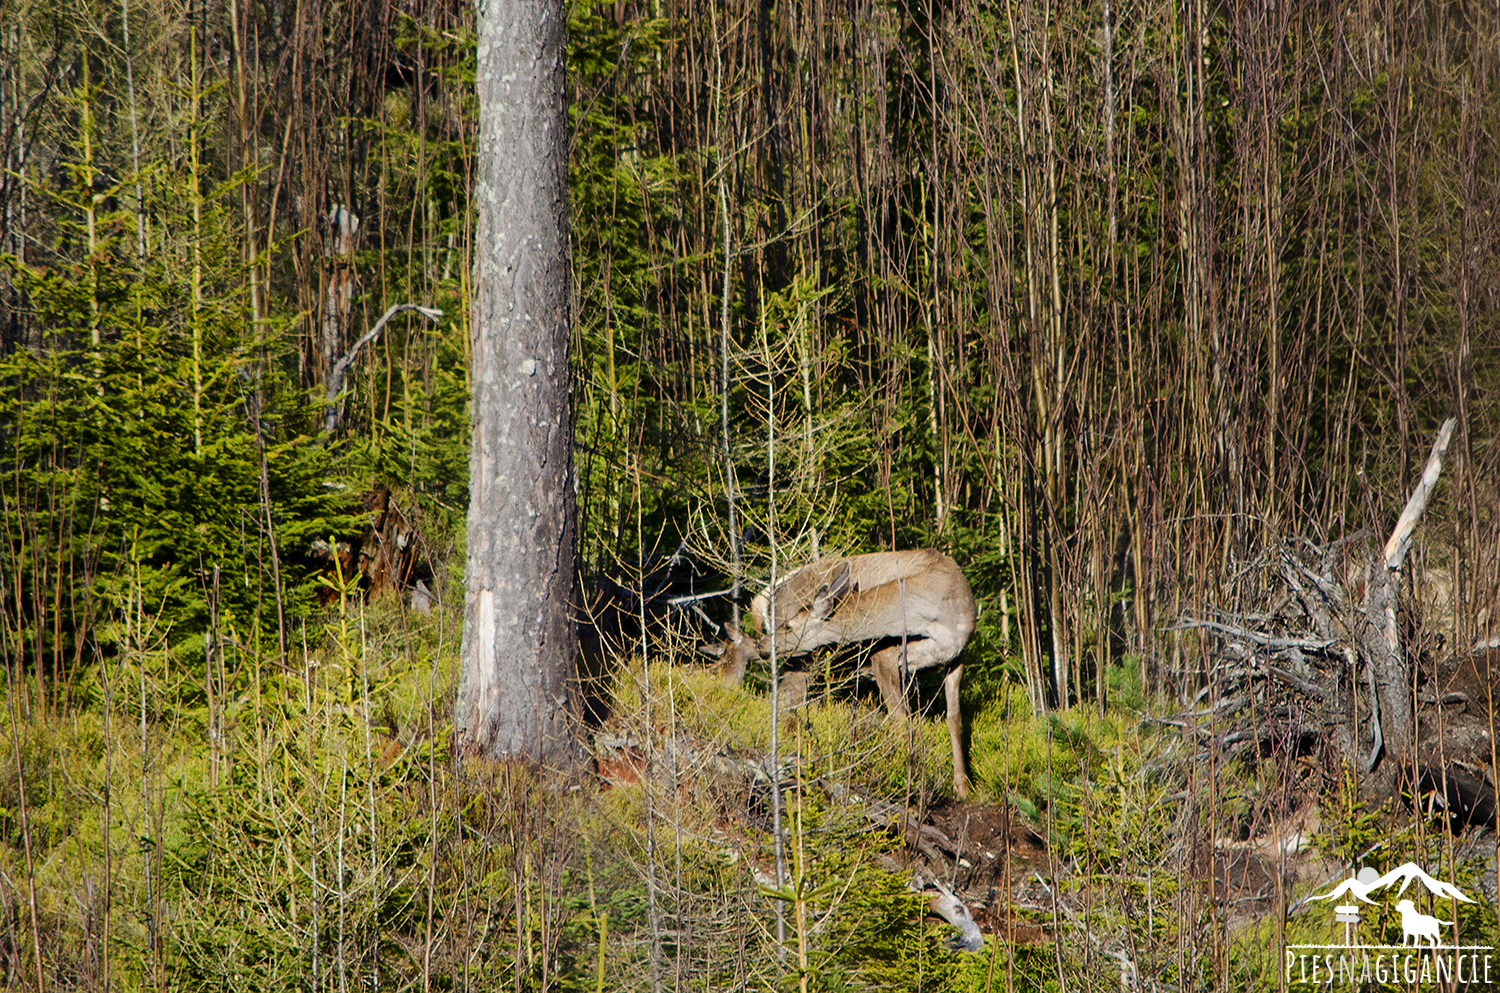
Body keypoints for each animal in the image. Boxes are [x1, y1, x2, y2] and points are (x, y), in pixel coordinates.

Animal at [708, 549, 978, 798]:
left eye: (790, 626)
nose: (764, 644)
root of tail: (763, 597)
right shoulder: (884, 654)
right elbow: (900, 719)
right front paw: (908, 780)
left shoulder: (957, 657)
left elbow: (954, 718)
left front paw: (962, 788)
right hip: (801, 659)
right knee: (786, 698)